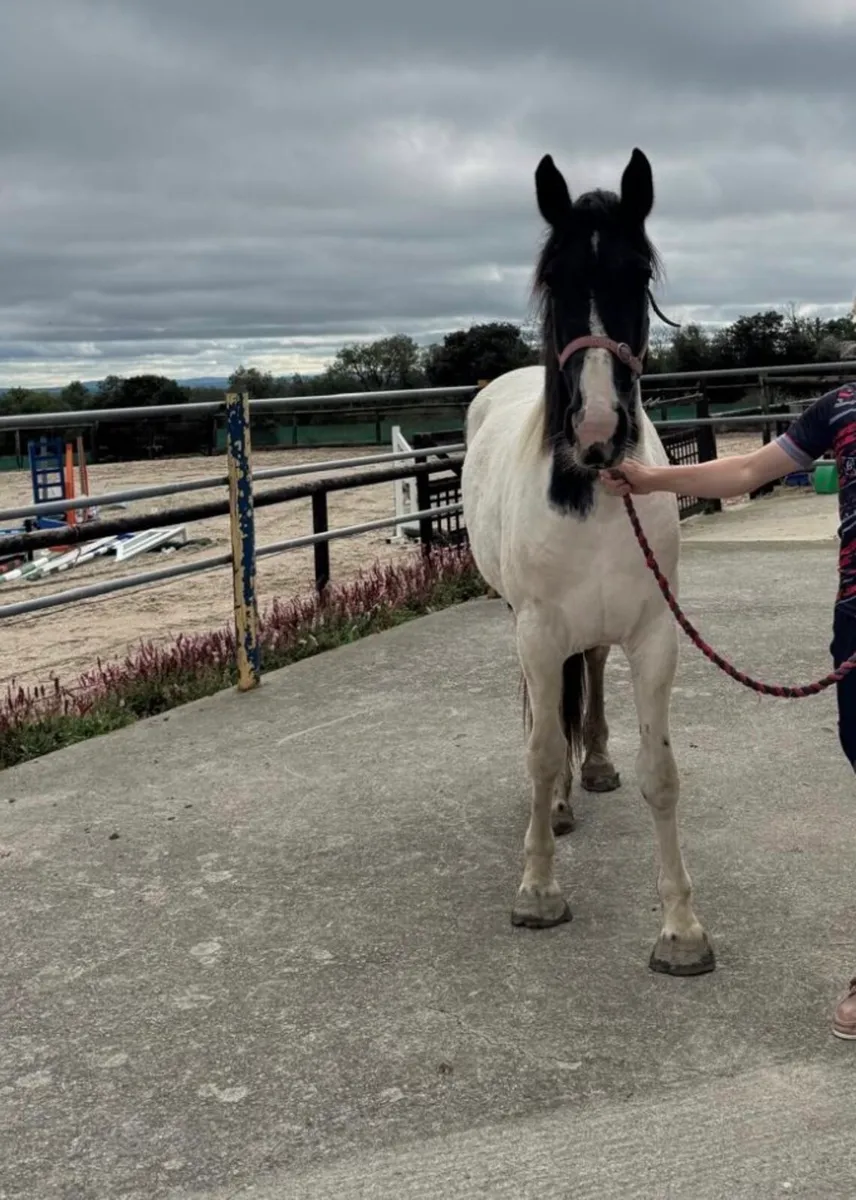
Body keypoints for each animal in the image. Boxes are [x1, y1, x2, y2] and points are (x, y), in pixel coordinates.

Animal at [461, 148, 715, 976]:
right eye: (554, 281)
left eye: (637, 275)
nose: (599, 431)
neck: (597, 493)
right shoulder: (538, 631)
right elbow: (542, 752)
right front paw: (538, 891)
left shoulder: (656, 634)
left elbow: (662, 773)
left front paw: (681, 929)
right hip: (523, 623)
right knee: (546, 713)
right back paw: (565, 805)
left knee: (593, 669)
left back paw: (595, 766)